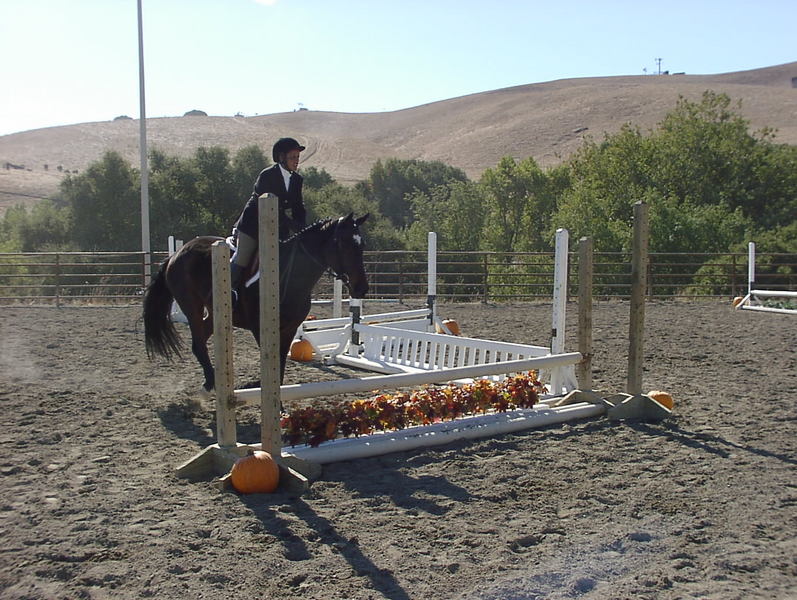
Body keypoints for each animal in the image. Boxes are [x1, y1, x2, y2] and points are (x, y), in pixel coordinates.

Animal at [143, 213, 369, 393]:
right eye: (343, 244)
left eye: (362, 245)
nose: (361, 288)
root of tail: (176, 254)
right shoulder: (260, 328)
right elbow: (272, 365)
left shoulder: (289, 329)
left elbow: (280, 367)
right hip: (192, 307)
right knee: (198, 341)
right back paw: (212, 385)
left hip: (215, 312)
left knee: (200, 340)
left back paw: (210, 382)